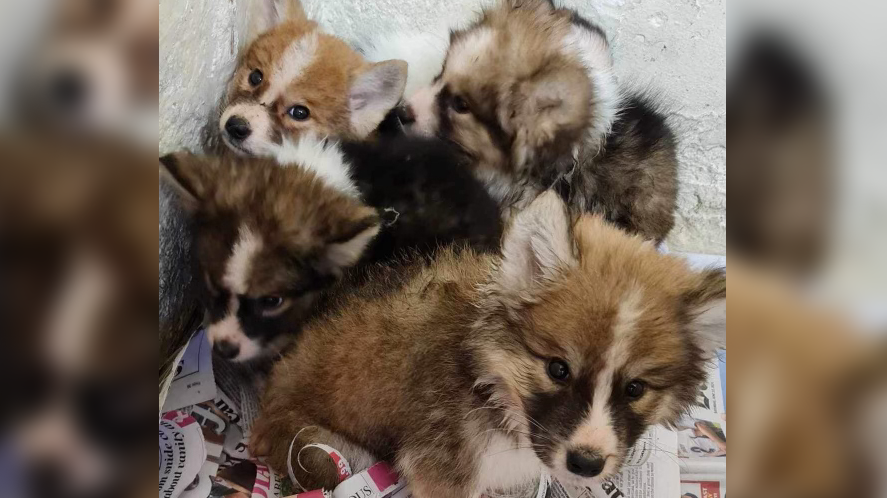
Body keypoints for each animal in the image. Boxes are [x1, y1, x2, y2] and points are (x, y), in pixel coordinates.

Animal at [248, 190, 720, 494]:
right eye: (557, 369)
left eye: (635, 388)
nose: (585, 465)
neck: (491, 382)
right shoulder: (442, 473)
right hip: (324, 451)